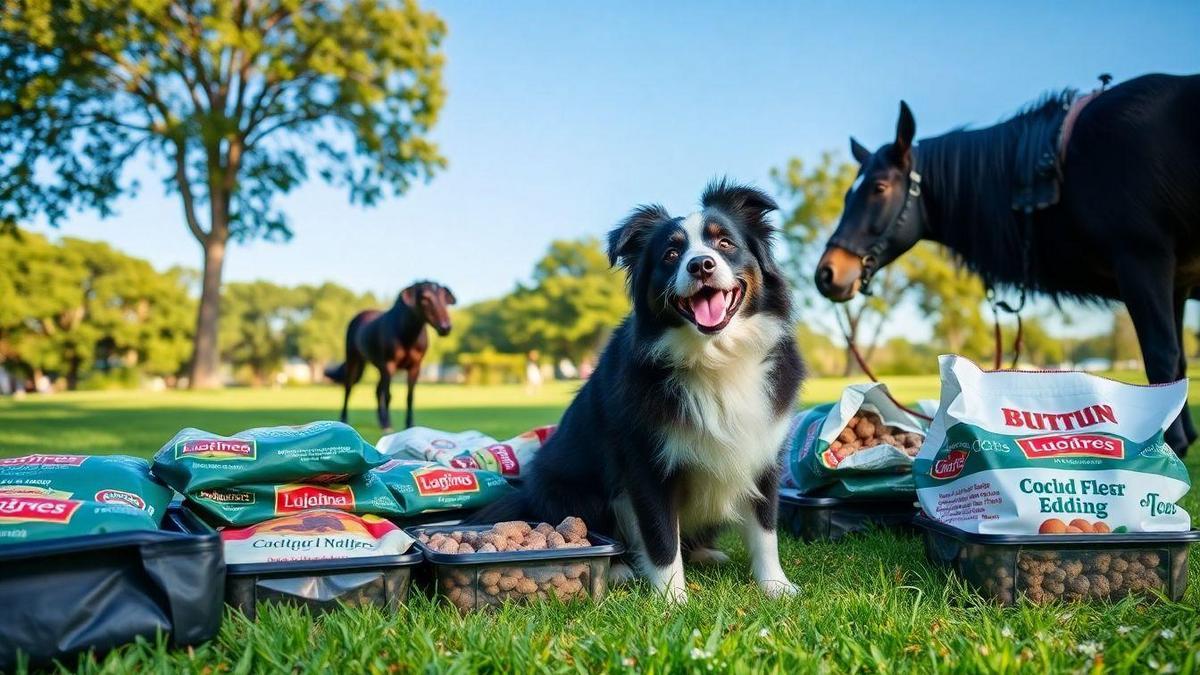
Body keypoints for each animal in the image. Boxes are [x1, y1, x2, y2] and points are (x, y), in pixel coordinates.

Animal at [326, 279, 456, 427]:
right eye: (425, 298)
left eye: (444, 298)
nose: (445, 328)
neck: (406, 334)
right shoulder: (389, 365)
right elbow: (388, 395)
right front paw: (388, 424)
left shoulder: (415, 367)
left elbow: (409, 396)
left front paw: (409, 424)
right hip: (354, 359)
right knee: (349, 388)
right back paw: (345, 418)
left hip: (379, 367)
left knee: (377, 390)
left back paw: (380, 420)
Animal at [475, 178, 796, 598]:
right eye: (671, 253)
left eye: (725, 242)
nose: (701, 264)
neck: (713, 357)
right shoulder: (645, 461)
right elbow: (661, 536)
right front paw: (672, 598)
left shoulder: (763, 449)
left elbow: (765, 528)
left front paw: (775, 585)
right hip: (569, 491)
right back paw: (619, 570)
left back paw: (706, 553)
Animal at [816, 72, 1200, 451]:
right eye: (847, 194)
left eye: (879, 188)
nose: (826, 274)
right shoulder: (1176, 282)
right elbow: (1179, 359)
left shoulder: (1143, 259)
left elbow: (1161, 355)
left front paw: (1174, 441)